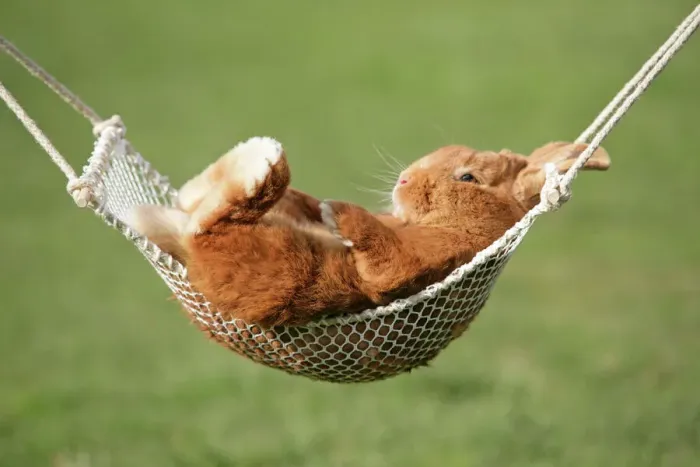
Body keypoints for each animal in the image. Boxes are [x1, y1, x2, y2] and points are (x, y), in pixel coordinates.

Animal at [125, 137, 610, 327]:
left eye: (467, 178)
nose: (404, 179)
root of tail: (185, 253)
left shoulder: (422, 259)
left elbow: (384, 256)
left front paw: (336, 212)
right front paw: (320, 208)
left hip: (264, 255)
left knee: (212, 218)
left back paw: (259, 160)